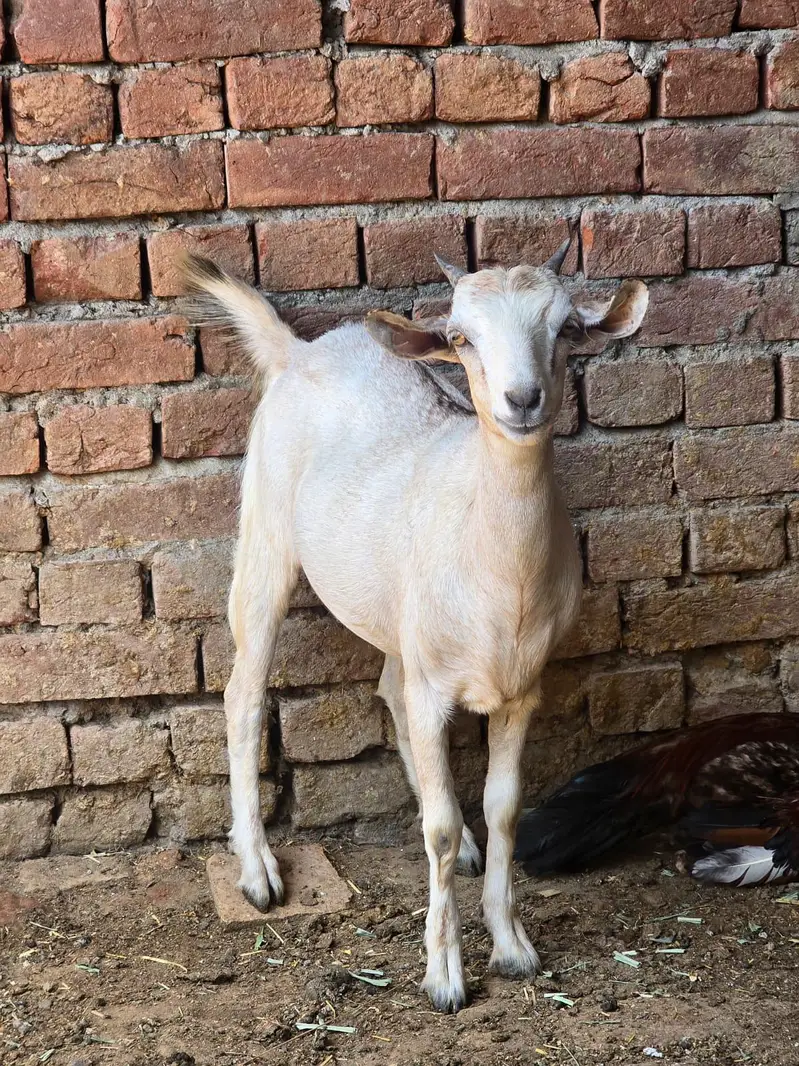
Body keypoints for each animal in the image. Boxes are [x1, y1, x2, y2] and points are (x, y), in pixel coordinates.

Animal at [183, 242, 648, 1013]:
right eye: (460, 338)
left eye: (565, 330)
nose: (522, 399)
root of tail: (299, 349)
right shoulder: (435, 687)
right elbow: (433, 829)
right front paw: (444, 977)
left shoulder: (523, 688)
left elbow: (503, 808)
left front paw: (512, 946)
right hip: (265, 528)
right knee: (243, 692)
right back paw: (257, 872)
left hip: (401, 617)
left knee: (388, 690)